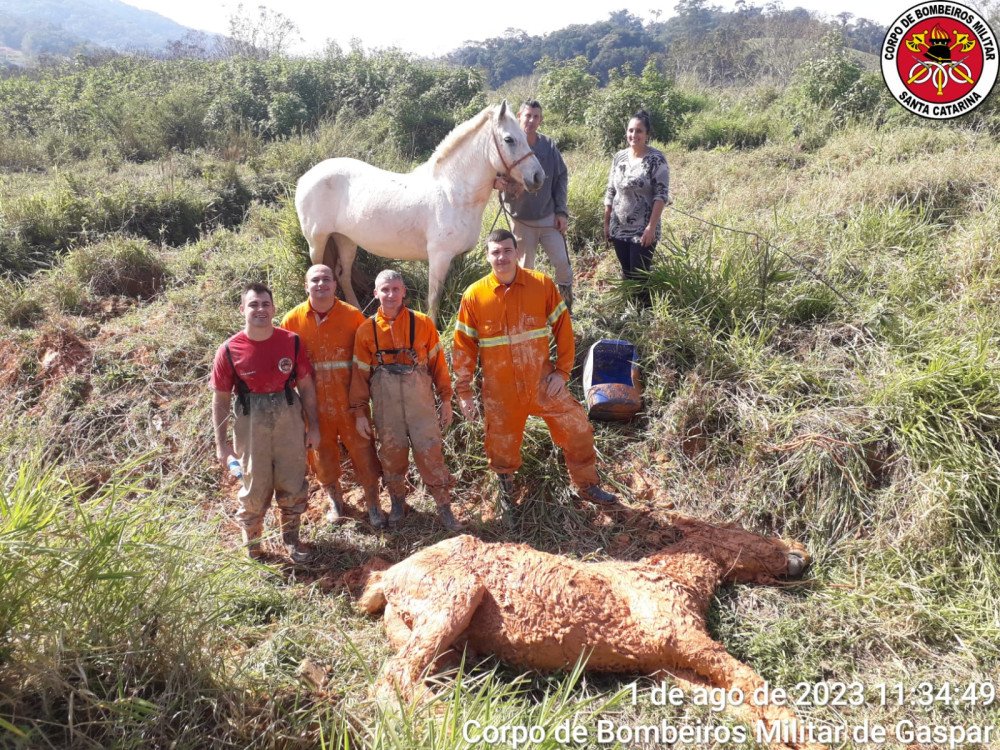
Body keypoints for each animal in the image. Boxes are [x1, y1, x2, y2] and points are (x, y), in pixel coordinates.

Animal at [295, 101, 544, 322]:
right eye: (509, 139)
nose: (538, 177)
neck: (453, 192)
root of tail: (305, 178)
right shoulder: (439, 256)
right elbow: (433, 299)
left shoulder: (455, 257)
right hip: (317, 241)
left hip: (345, 239)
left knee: (343, 275)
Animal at [356, 514, 822, 750]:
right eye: (752, 534)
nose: (803, 557)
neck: (672, 577)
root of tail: (387, 579)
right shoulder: (683, 638)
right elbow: (750, 680)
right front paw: (803, 734)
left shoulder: (669, 667)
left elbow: (734, 705)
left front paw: (788, 741)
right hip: (453, 596)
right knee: (391, 677)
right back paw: (453, 722)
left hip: (441, 642)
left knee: (409, 674)